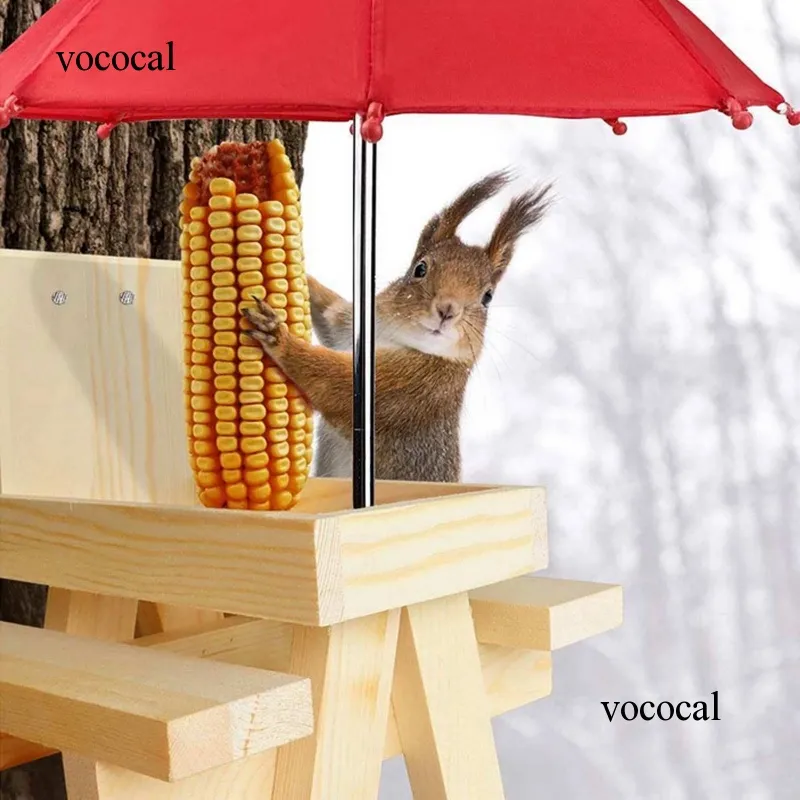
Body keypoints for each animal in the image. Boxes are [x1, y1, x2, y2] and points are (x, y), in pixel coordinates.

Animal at [242, 169, 552, 483]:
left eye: (487, 297)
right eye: (420, 268)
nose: (447, 310)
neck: (390, 335)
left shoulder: (411, 388)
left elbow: (336, 381)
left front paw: (278, 336)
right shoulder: (350, 326)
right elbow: (328, 310)